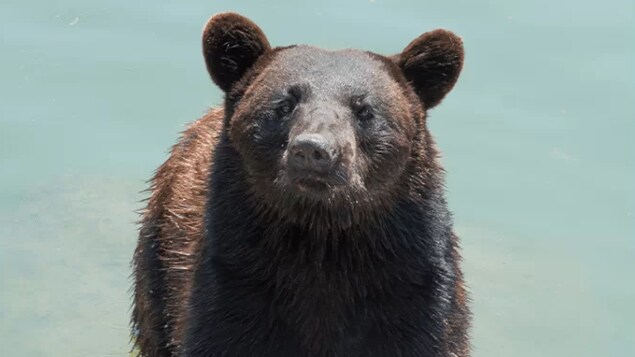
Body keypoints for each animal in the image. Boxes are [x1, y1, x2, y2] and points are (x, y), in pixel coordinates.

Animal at [132, 11, 470, 356]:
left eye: (364, 109)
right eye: (283, 105)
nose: (313, 150)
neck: (320, 236)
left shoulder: (413, 291)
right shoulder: (231, 285)